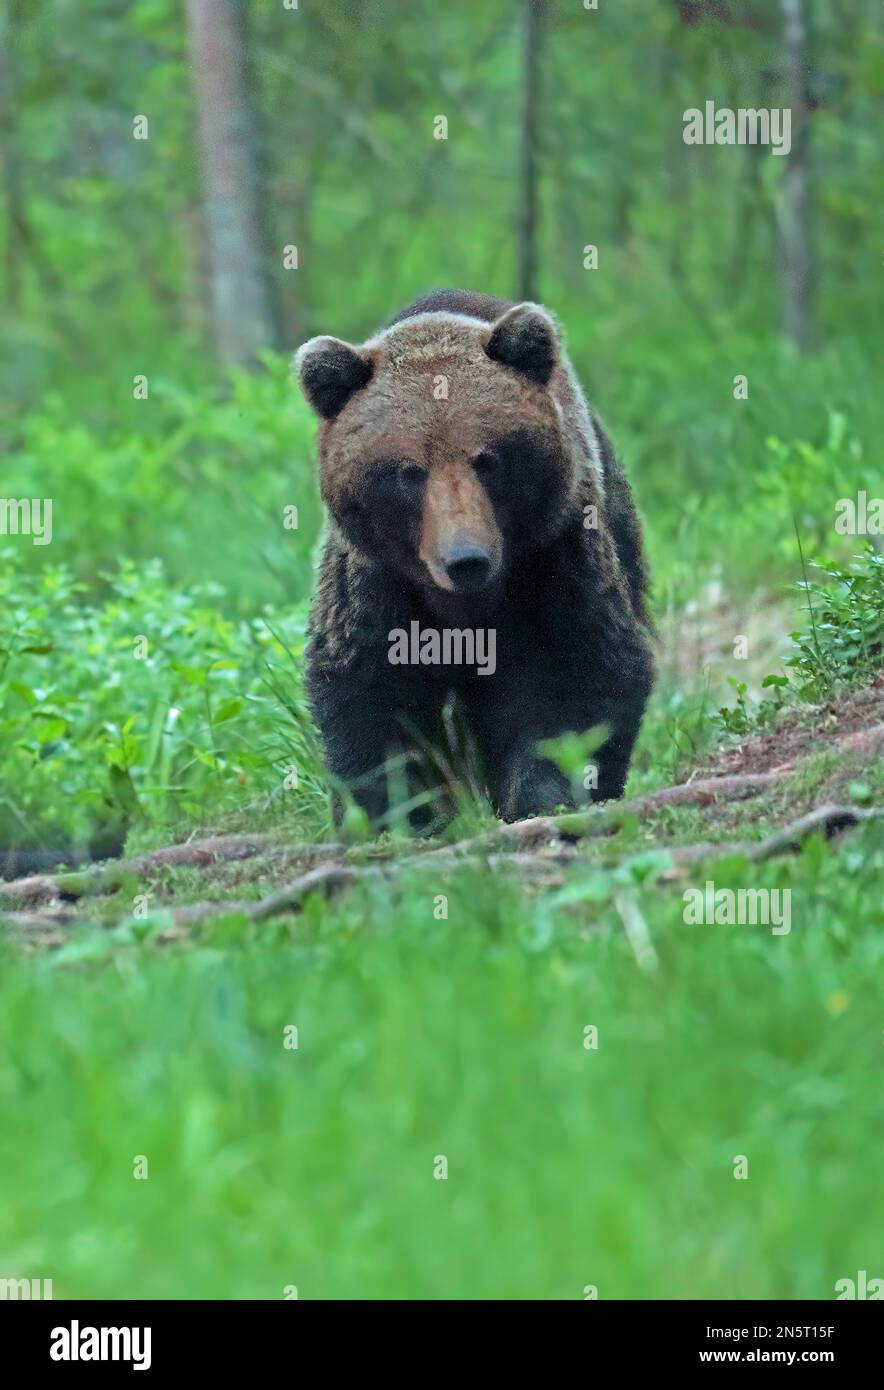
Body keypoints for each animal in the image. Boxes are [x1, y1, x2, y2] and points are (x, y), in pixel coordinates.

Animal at [295, 289, 655, 829]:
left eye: (487, 459)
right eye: (409, 472)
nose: (466, 559)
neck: (468, 606)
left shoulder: (554, 552)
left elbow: (578, 670)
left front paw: (544, 798)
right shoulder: (377, 579)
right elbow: (370, 689)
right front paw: (396, 816)